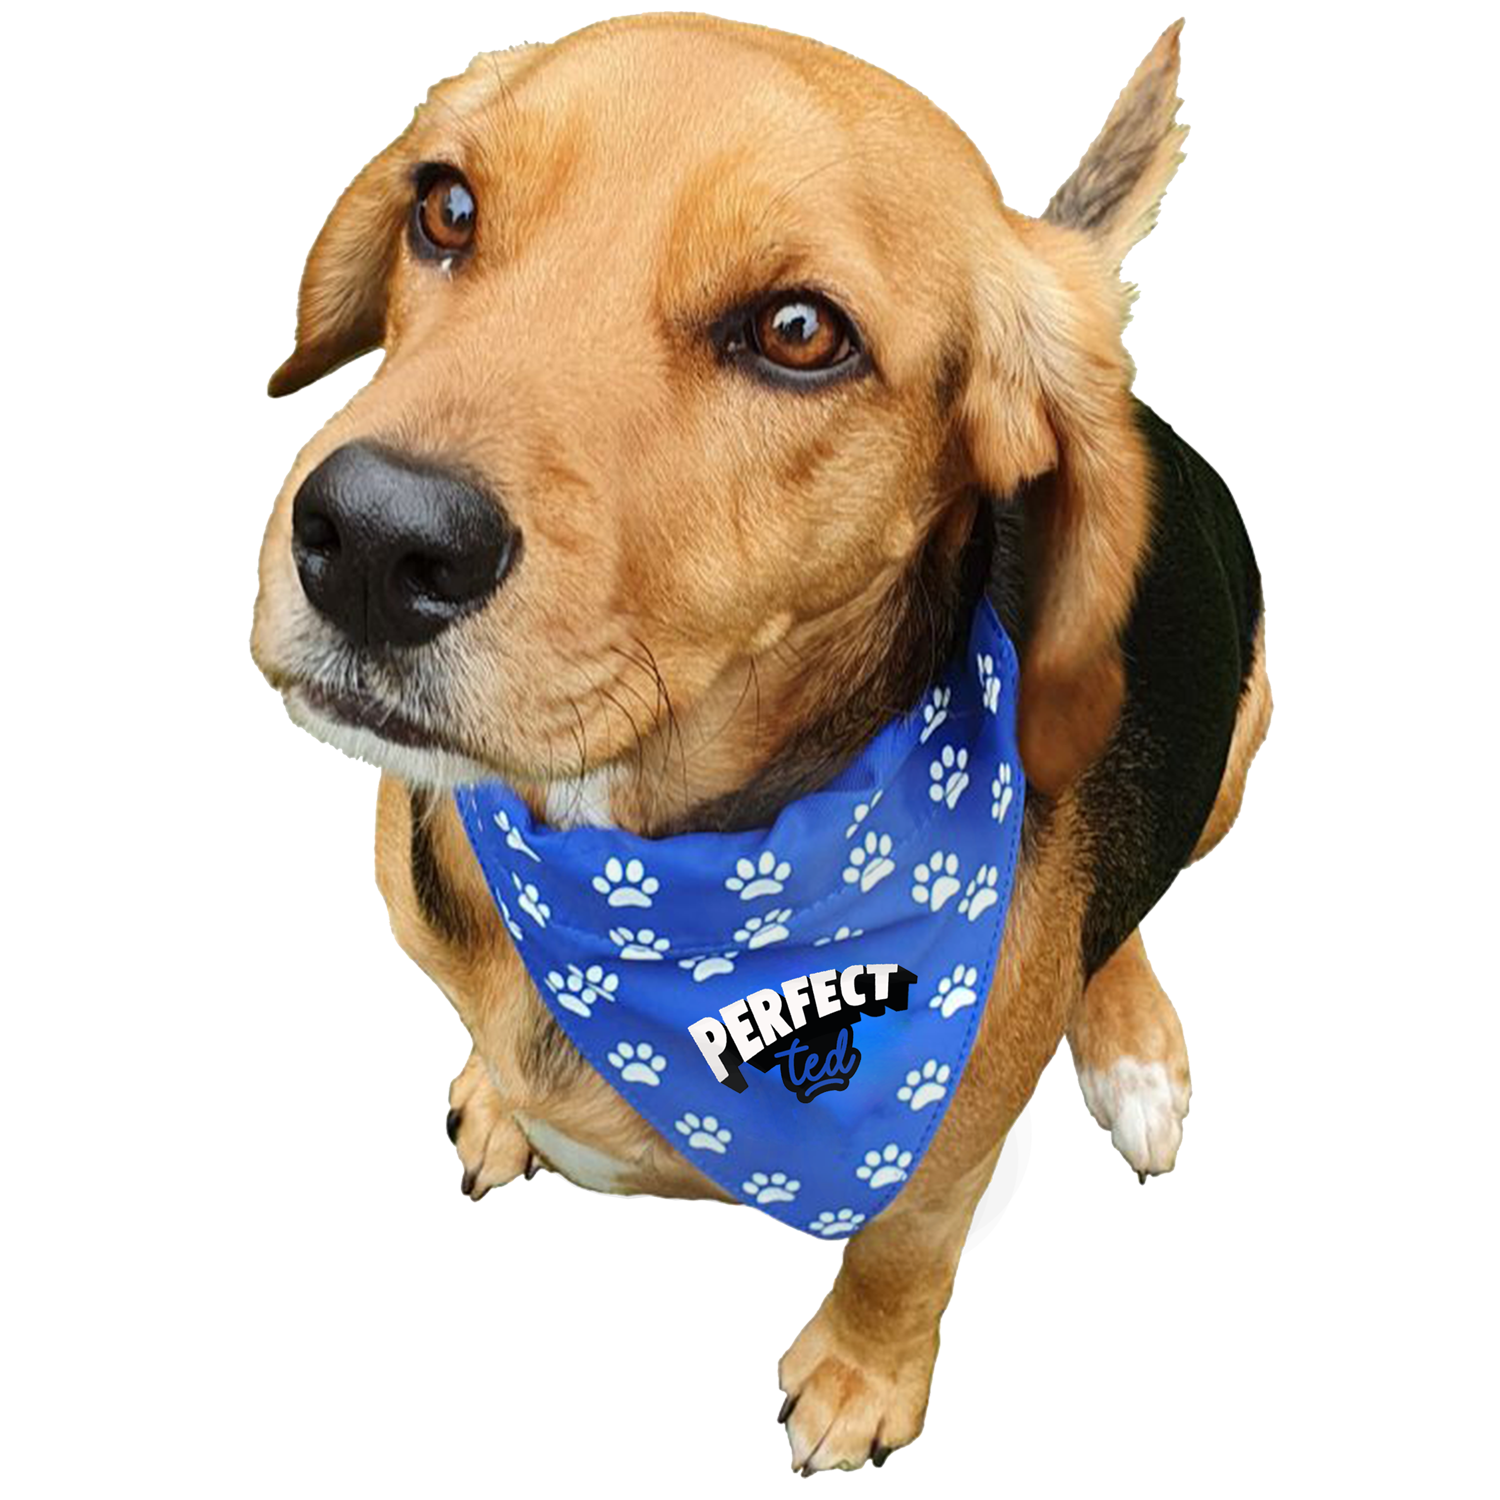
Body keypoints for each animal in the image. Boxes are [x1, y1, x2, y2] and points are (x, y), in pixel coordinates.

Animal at [252, 14, 1270, 1474]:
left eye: (799, 332)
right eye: (445, 207)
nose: (378, 541)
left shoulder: (945, 1161)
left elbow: (905, 1253)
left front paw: (862, 1380)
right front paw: (501, 1097)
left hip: (1242, 733)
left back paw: (1130, 1043)